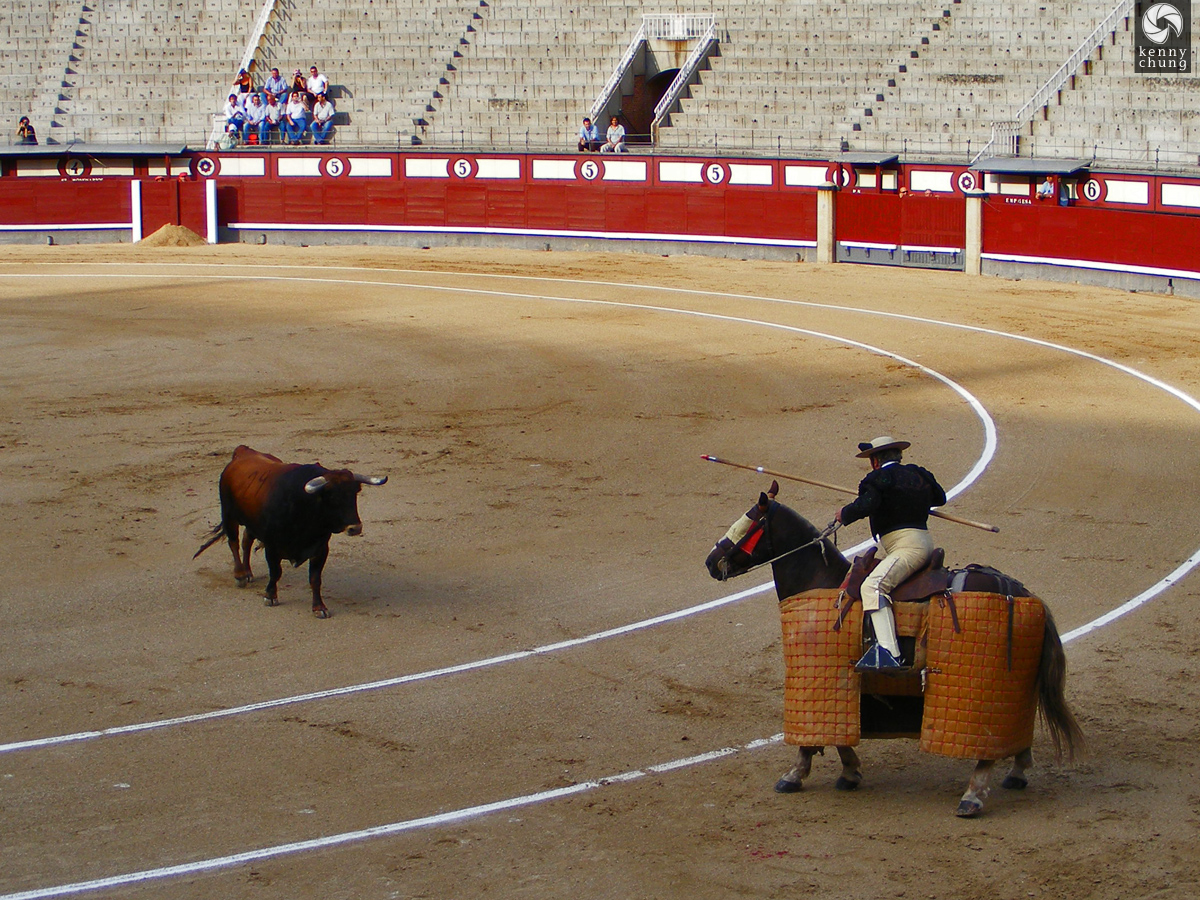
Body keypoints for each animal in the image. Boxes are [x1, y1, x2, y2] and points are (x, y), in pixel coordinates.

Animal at [194, 446, 386, 619]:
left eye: (355, 493)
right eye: (332, 496)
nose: (355, 528)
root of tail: (243, 451)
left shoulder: (320, 548)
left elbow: (315, 579)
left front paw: (319, 607)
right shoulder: (272, 547)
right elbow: (275, 572)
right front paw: (270, 596)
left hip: (252, 523)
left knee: (246, 540)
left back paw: (248, 572)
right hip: (229, 514)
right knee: (233, 542)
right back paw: (240, 575)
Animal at [700, 487, 1089, 816]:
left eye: (748, 522)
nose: (710, 561)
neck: (822, 582)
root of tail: (1018, 590)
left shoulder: (822, 678)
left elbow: (813, 737)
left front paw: (795, 775)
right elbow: (843, 733)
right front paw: (850, 773)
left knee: (986, 749)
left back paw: (973, 796)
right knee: (1018, 728)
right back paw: (1018, 772)